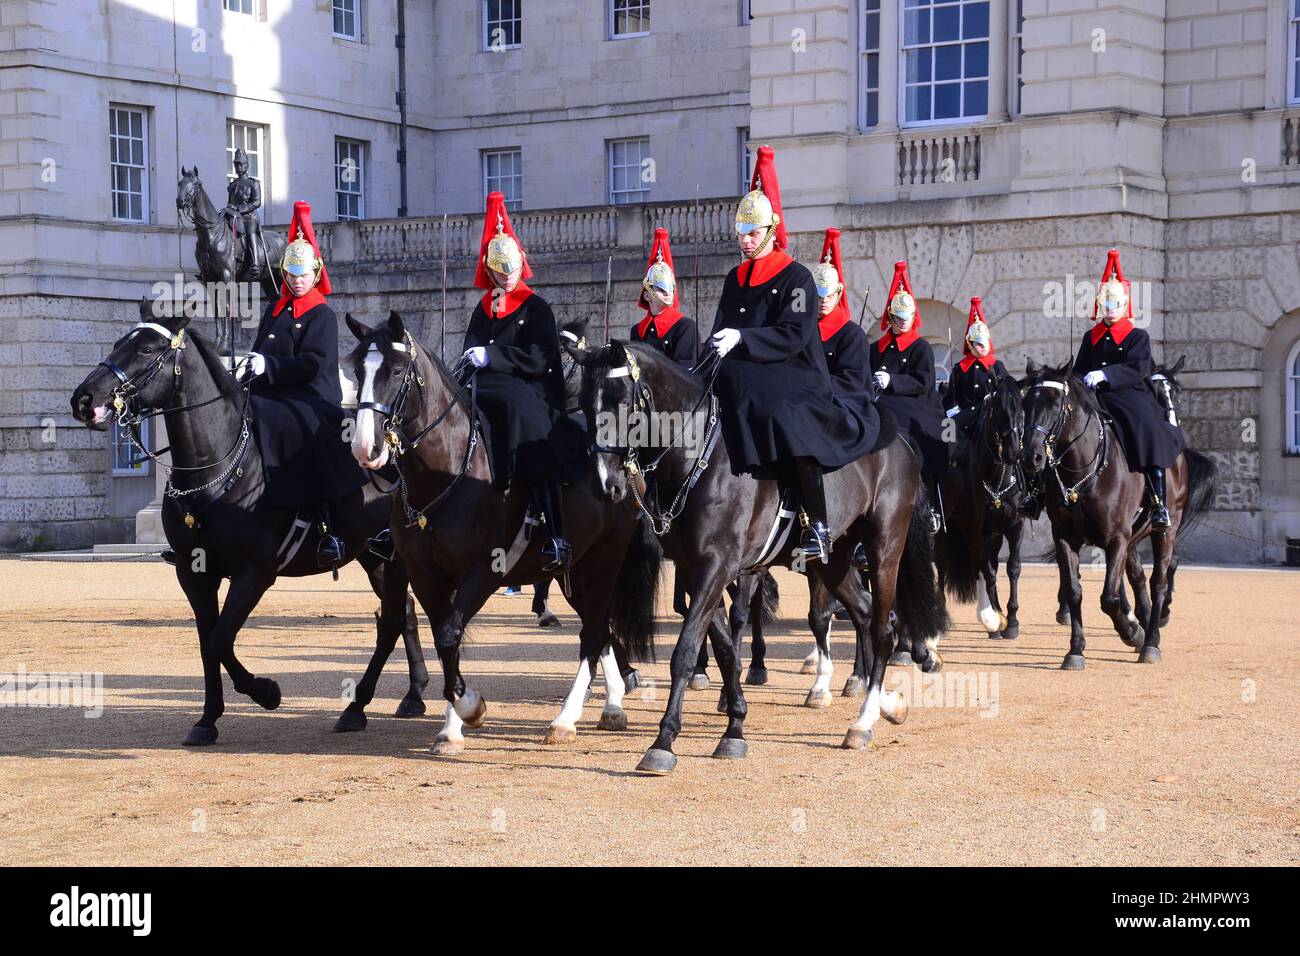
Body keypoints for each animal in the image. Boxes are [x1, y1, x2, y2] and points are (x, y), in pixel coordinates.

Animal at [72, 303, 431, 743]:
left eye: (147, 349)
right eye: (117, 342)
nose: (85, 399)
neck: (216, 467)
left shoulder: (255, 573)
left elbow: (221, 638)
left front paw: (266, 691)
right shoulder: (194, 573)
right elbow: (207, 644)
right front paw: (207, 719)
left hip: (391, 555)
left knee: (393, 618)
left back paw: (359, 706)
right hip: (373, 555)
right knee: (403, 613)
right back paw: (411, 695)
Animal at [345, 314, 660, 754]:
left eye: (394, 371)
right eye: (358, 372)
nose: (365, 448)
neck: (446, 473)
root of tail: (626, 469)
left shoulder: (484, 572)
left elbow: (449, 634)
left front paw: (469, 709)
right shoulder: (424, 575)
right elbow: (443, 638)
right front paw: (452, 724)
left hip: (603, 561)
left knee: (595, 631)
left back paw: (565, 719)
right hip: (574, 572)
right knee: (598, 628)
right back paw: (611, 705)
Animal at [577, 340, 946, 775]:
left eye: (620, 401)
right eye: (583, 403)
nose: (607, 486)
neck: (699, 458)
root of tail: (900, 438)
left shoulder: (716, 567)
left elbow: (685, 651)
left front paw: (663, 741)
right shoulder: (699, 570)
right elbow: (724, 647)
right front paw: (734, 725)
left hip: (884, 548)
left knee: (882, 627)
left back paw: (864, 721)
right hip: (834, 561)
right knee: (870, 614)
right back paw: (886, 702)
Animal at [1013, 361, 1216, 671]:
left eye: (1056, 402)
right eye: (1025, 403)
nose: (1031, 457)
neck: (1083, 469)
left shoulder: (1117, 538)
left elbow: (1109, 597)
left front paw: (1131, 632)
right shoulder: (1065, 538)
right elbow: (1075, 590)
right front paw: (1076, 649)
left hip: (1165, 530)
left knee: (1158, 581)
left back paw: (1150, 641)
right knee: (1137, 578)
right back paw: (1143, 622)